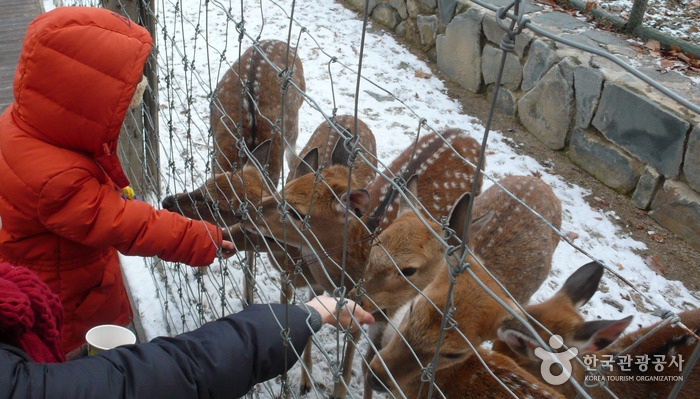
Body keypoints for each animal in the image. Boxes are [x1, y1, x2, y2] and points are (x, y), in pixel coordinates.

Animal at [243, 130, 484, 398]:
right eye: (286, 187)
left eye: (298, 212)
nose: (250, 211)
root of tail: (465, 135)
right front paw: (304, 382)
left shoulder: (374, 314)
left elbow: (351, 372)